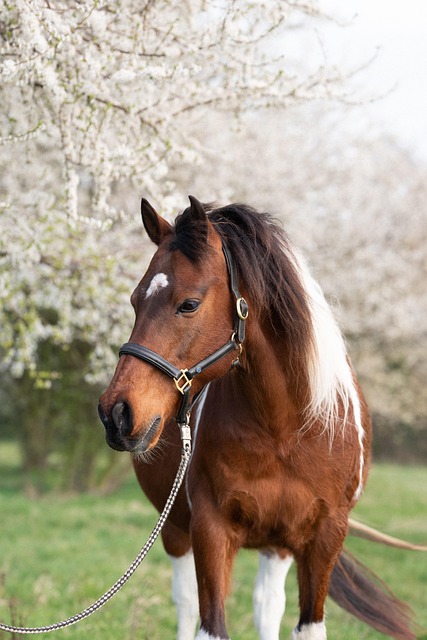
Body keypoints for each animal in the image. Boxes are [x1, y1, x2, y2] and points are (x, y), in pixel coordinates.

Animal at [98, 196, 416, 640]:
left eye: (189, 304)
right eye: (134, 301)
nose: (116, 412)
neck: (286, 428)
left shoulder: (323, 537)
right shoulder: (208, 531)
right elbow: (209, 624)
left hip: (276, 544)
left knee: (267, 605)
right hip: (176, 530)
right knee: (186, 602)